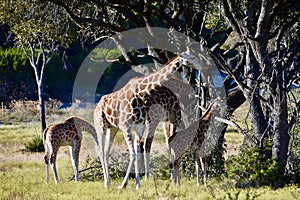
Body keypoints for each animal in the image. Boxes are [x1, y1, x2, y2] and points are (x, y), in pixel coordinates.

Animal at [94, 55, 192, 189]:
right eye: (185, 55)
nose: (191, 64)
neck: (141, 92)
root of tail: (96, 106)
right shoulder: (127, 125)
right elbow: (135, 153)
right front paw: (125, 184)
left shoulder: (139, 125)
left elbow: (138, 151)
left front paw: (138, 185)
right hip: (101, 125)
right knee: (100, 150)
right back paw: (106, 182)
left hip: (112, 127)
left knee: (106, 151)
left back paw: (108, 182)